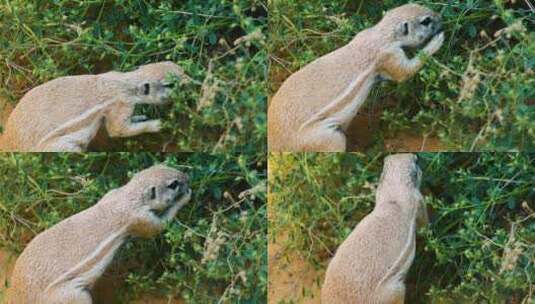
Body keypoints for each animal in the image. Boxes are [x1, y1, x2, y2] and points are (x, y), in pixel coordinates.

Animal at [0, 61, 186, 152]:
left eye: (172, 63)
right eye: (170, 84)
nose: (190, 80)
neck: (124, 83)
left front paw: (141, 117)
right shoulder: (121, 106)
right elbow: (118, 130)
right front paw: (157, 124)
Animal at [6, 165, 192, 302]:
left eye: (164, 165)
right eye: (173, 184)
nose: (186, 176)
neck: (127, 197)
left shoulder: (111, 194)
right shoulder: (141, 219)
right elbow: (160, 226)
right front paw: (186, 197)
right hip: (74, 296)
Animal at [270, 4, 446, 151]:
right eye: (426, 21)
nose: (441, 17)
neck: (381, 34)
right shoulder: (390, 56)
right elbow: (405, 72)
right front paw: (437, 42)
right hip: (330, 140)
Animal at [320, 154, 430, 304]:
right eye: (416, 160)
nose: (416, 156)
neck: (394, 190)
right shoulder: (418, 200)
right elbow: (425, 224)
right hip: (396, 290)